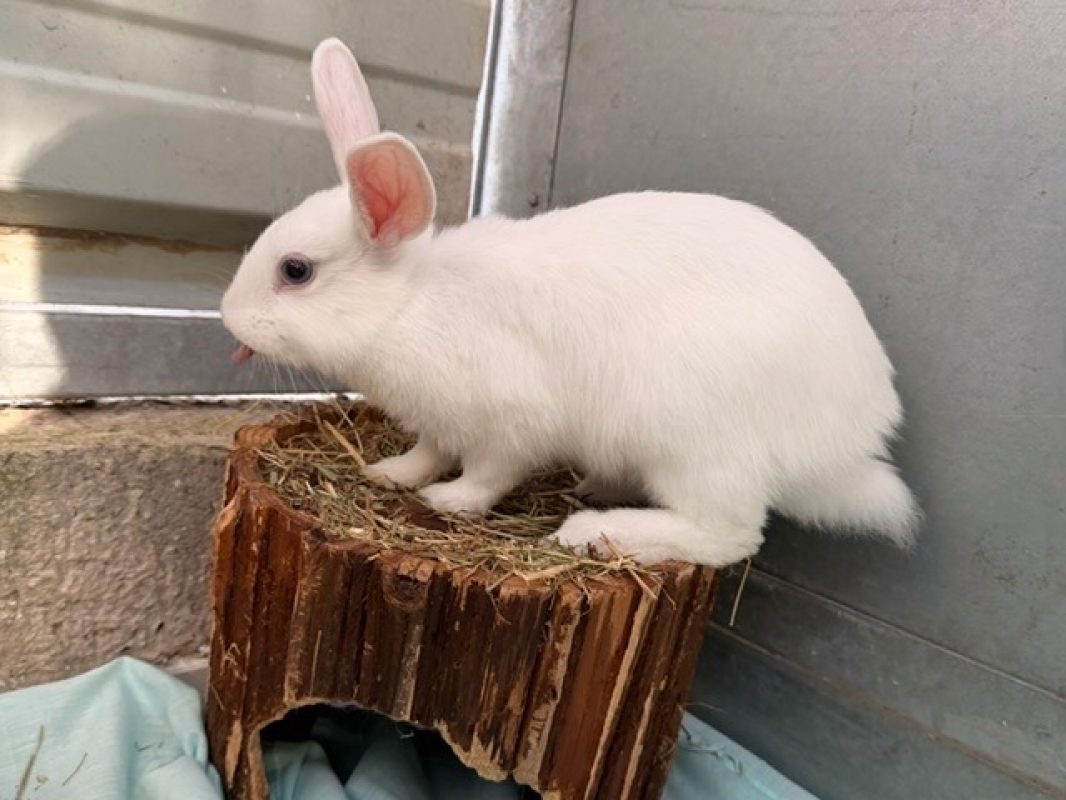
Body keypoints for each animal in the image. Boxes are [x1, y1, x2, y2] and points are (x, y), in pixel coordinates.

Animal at [220, 38, 921, 567]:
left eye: (295, 270)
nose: (228, 318)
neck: (409, 306)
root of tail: (855, 436)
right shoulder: (441, 421)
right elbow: (430, 451)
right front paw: (392, 473)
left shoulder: (512, 420)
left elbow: (488, 472)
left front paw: (450, 502)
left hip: (693, 445)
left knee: (729, 534)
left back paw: (597, 531)